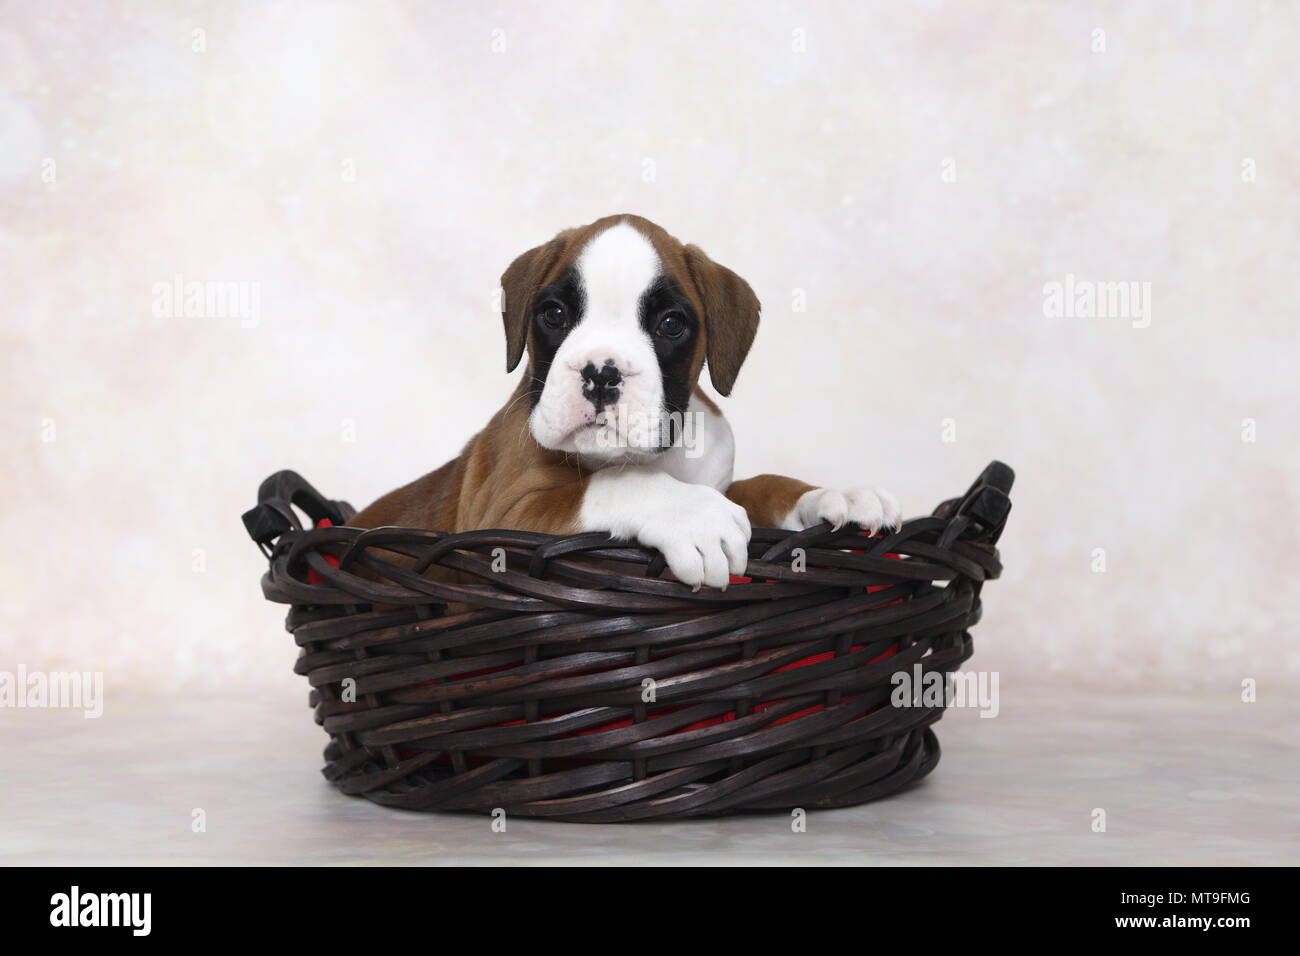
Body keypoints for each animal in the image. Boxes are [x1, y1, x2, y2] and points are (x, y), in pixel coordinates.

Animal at [351, 214, 899, 590]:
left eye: (671, 324)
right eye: (554, 314)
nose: (601, 372)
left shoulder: (725, 482)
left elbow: (765, 485)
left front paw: (834, 496)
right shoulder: (501, 518)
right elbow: (613, 483)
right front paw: (694, 515)